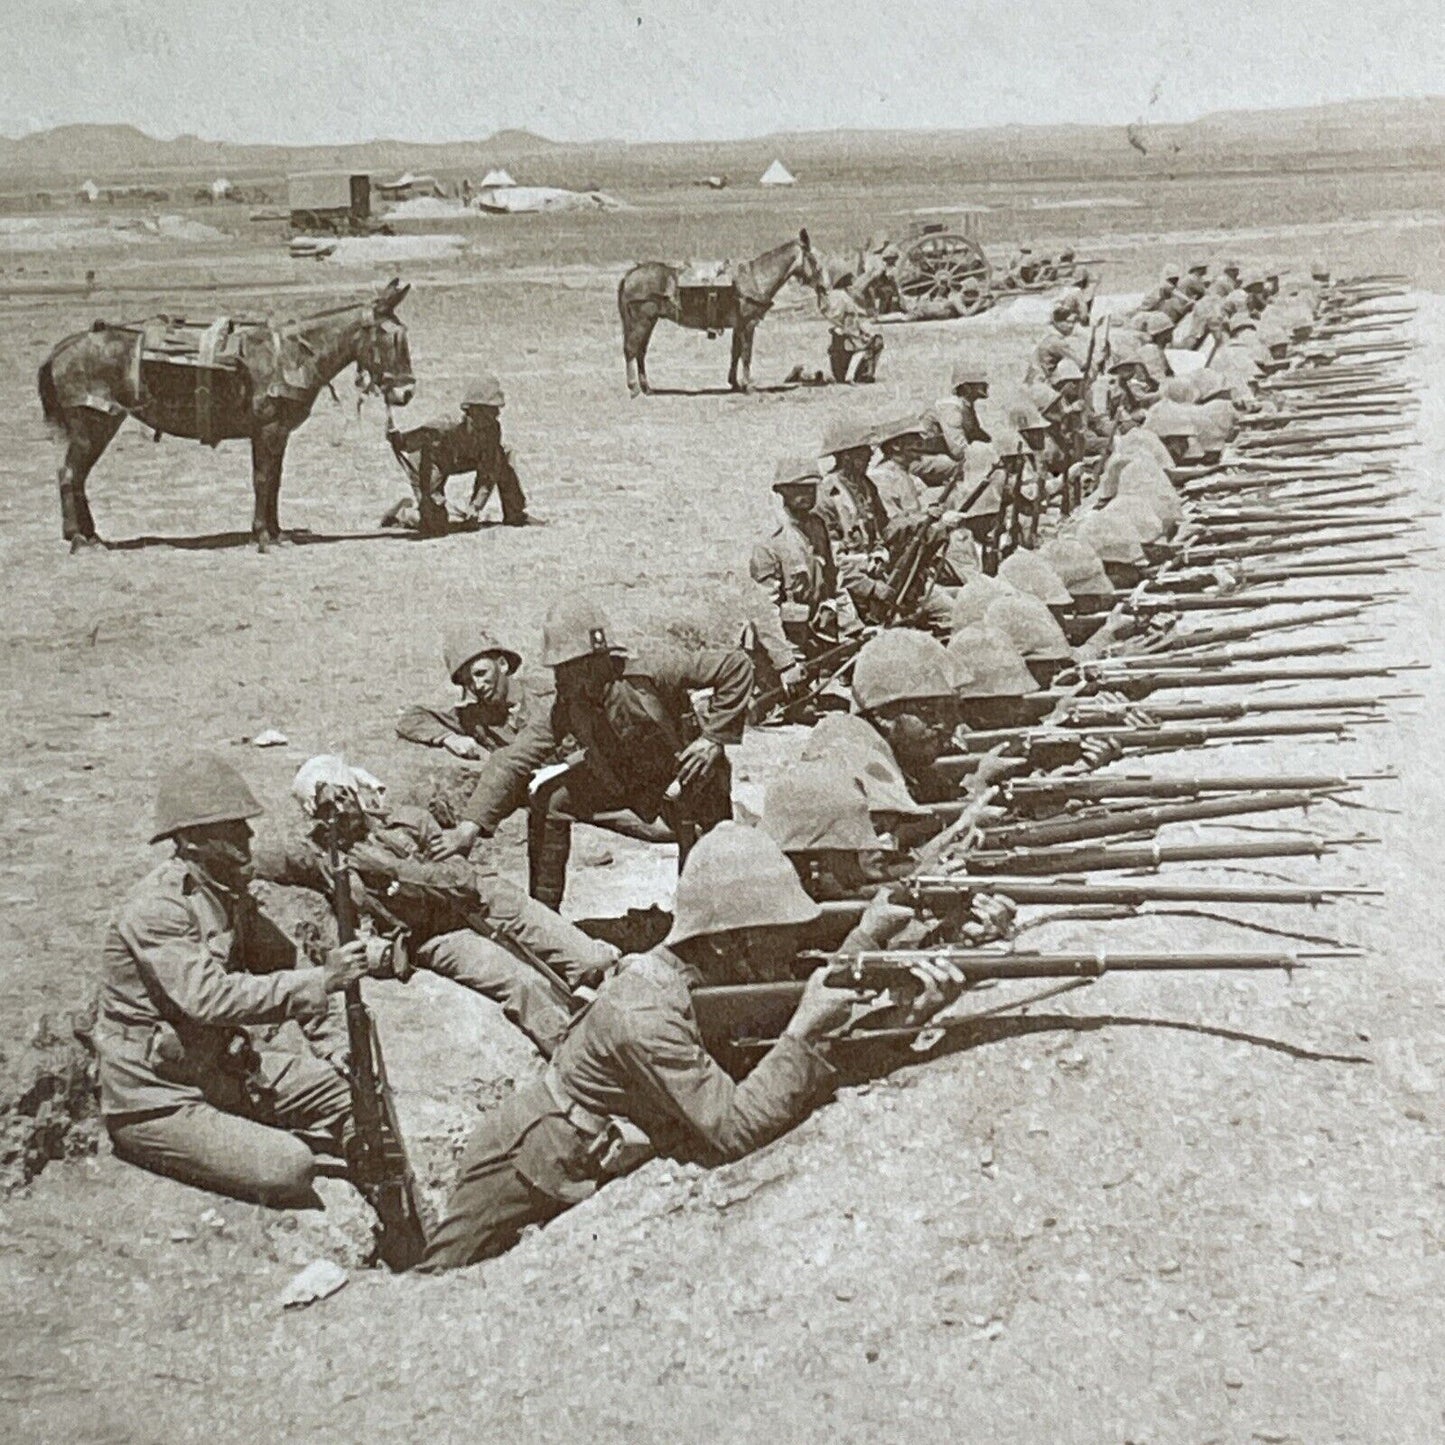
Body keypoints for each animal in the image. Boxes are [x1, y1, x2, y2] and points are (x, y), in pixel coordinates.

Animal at [33, 277, 416, 551]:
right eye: (391, 336)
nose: (406, 393)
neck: (291, 356)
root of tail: (64, 347)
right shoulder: (268, 430)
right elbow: (263, 479)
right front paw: (263, 536)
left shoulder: (277, 434)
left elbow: (274, 480)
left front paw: (276, 532)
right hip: (93, 424)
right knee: (70, 474)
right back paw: (79, 539)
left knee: (77, 477)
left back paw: (92, 536)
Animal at [618, 228, 826, 395]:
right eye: (814, 260)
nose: (823, 287)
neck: (756, 279)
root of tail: (630, 275)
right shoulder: (748, 325)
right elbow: (746, 355)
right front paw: (748, 386)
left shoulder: (738, 326)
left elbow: (735, 353)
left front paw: (735, 383)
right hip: (642, 321)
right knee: (631, 349)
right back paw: (634, 387)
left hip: (649, 321)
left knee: (641, 352)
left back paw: (647, 388)